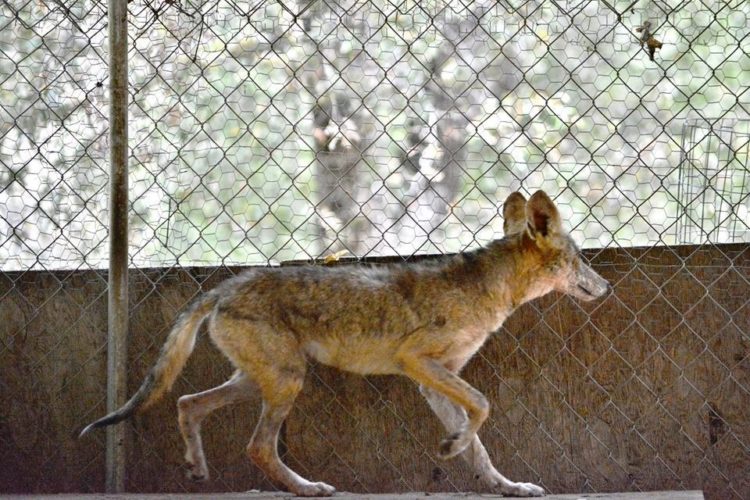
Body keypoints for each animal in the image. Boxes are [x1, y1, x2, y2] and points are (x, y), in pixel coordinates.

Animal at [81, 190, 612, 496]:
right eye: (581, 259)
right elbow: (482, 408)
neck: (488, 291)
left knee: (188, 402)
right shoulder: (417, 362)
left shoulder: (435, 381)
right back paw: (308, 488)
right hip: (286, 382)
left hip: (260, 381)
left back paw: (197, 468)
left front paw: (503, 483)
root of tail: (225, 286)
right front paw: (452, 447)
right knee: (257, 447)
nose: (607, 287)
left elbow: (480, 443)